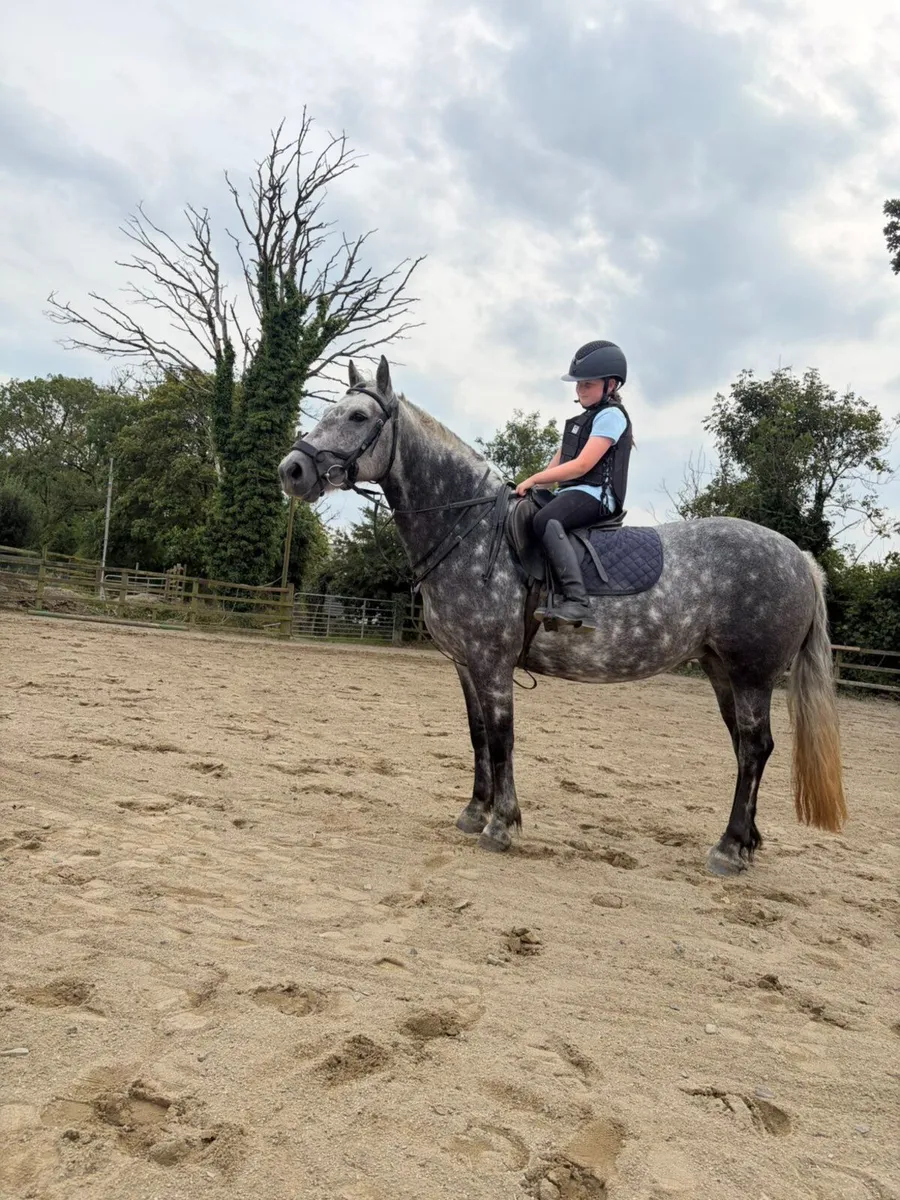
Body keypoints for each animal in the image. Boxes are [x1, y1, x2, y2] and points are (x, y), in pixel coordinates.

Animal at [278, 357, 846, 876]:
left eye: (356, 416)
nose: (292, 470)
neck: (471, 530)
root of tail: (800, 559)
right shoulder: (465, 664)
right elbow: (477, 734)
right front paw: (474, 811)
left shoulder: (491, 661)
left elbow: (502, 737)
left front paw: (502, 825)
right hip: (722, 671)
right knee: (747, 747)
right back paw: (747, 841)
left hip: (752, 675)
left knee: (754, 748)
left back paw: (729, 849)